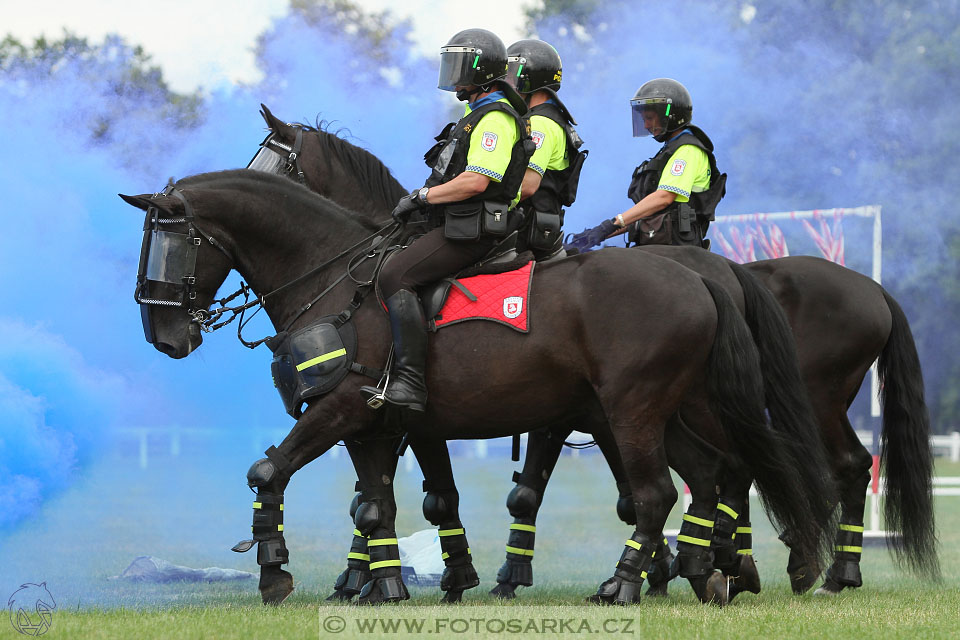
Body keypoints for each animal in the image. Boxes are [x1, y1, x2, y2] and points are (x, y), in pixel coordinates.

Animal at [124, 166, 836, 604]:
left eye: (167, 244)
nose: (165, 335)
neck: (334, 278)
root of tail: (697, 275)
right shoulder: (375, 426)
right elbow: (378, 505)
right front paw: (388, 588)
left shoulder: (341, 410)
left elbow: (268, 473)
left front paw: (275, 568)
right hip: (672, 411)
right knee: (716, 474)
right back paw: (703, 571)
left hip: (632, 412)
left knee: (658, 492)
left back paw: (630, 583)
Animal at [251, 102, 940, 596]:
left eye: (277, 163)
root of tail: (873, 288)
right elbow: (402, 493)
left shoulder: (497, 416)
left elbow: (509, 493)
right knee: (763, 468)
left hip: (805, 402)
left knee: (827, 467)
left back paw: (811, 570)